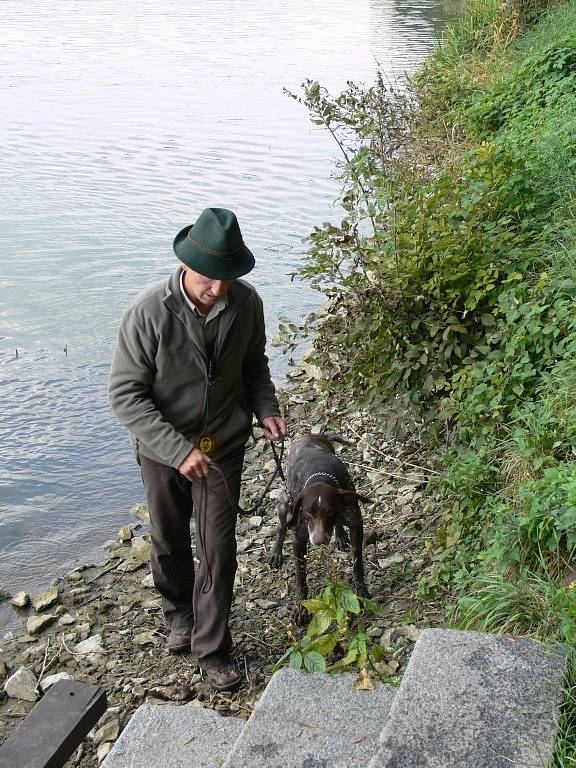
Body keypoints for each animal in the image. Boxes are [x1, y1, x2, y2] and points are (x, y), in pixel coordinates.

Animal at [268, 432, 372, 624]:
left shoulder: (355, 523)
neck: (320, 475)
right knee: (282, 526)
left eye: (329, 511)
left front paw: (361, 592)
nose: (318, 540)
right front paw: (300, 608)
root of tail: (313, 434)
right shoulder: (299, 538)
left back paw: (340, 536)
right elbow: (300, 579)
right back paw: (276, 552)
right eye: (308, 513)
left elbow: (357, 563)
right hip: (286, 501)